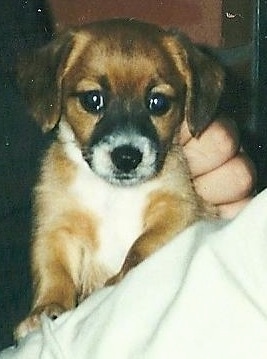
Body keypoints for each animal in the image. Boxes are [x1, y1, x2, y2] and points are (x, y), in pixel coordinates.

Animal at [14, 19, 224, 340]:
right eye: (93, 100)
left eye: (158, 102)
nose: (127, 157)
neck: (112, 194)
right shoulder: (57, 230)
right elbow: (54, 272)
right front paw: (46, 309)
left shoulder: (177, 209)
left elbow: (141, 248)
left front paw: (120, 277)